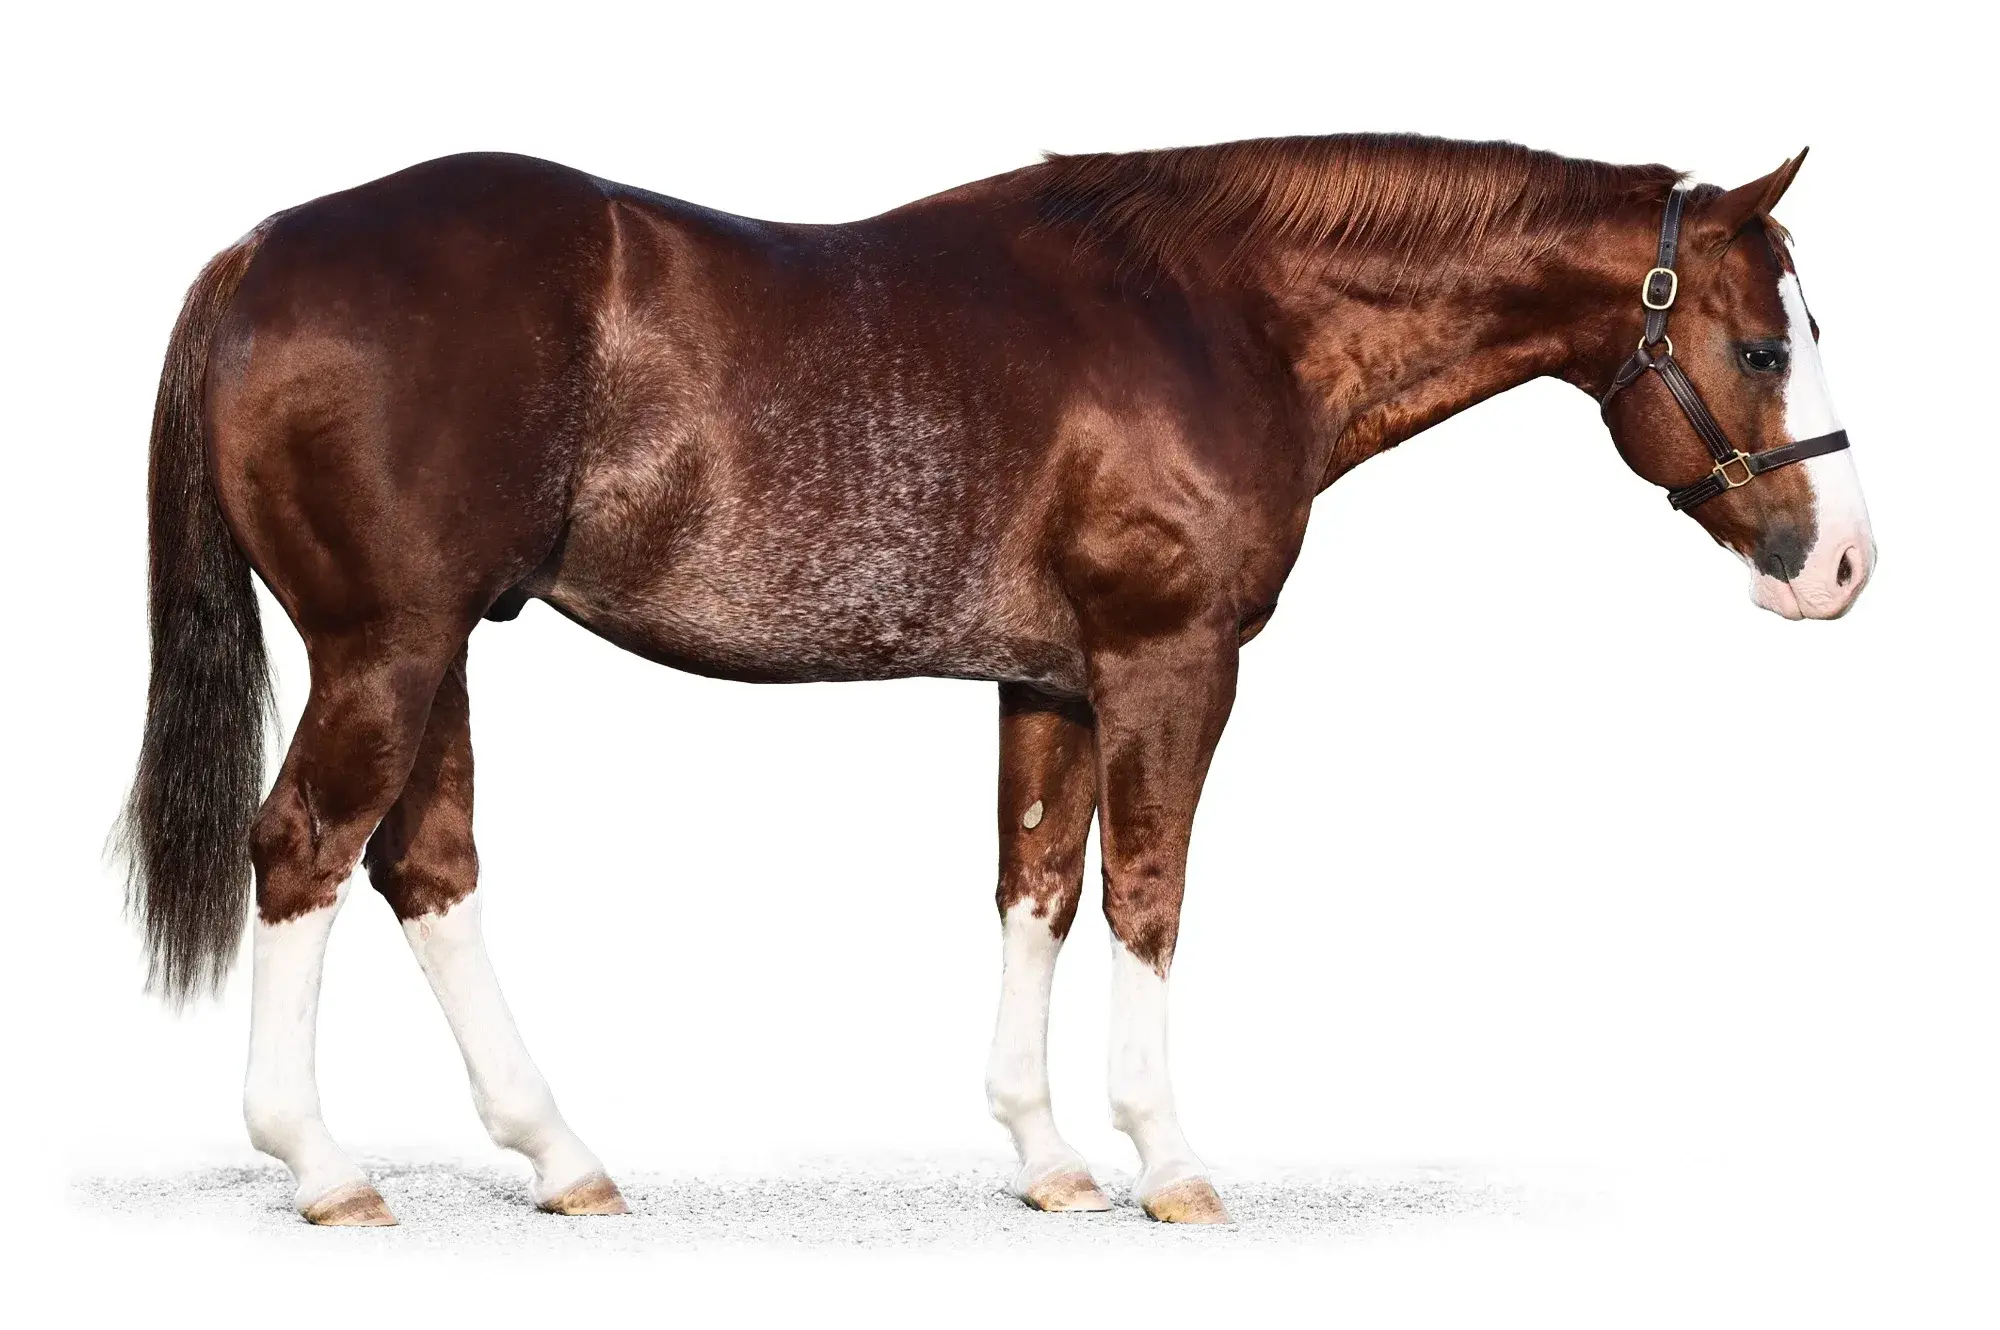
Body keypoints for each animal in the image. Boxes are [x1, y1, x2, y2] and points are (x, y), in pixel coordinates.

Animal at [119, 133, 1874, 1227]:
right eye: (1764, 346)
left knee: (427, 868)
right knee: (304, 851)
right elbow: (1150, 895)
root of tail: (260, 251)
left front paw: (1050, 1157)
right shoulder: (1169, 661)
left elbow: (1038, 886)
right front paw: (1170, 1159)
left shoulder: (1053, 683)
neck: (1212, 318)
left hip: (437, 649)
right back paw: (325, 1167)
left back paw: (561, 1156)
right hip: (388, 647)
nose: (1843, 564)